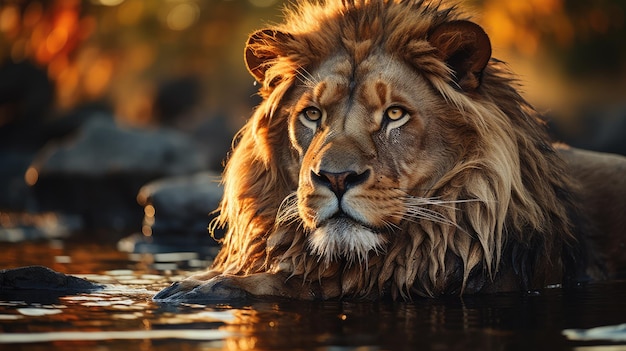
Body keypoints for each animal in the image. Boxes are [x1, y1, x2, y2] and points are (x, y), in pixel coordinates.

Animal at [152, 0, 624, 302]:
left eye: (395, 114)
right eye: (312, 115)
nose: (336, 178)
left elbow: (314, 281)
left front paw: (207, 287)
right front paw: (197, 280)